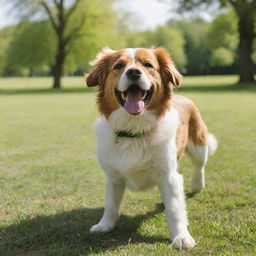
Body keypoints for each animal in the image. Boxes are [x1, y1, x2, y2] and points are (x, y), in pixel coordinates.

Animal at [85, 47, 217, 249]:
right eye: (119, 66)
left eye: (148, 65)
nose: (133, 72)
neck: (134, 130)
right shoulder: (113, 177)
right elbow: (111, 205)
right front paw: (105, 225)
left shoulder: (169, 176)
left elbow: (174, 209)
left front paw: (181, 237)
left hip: (198, 145)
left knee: (199, 165)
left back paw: (197, 184)